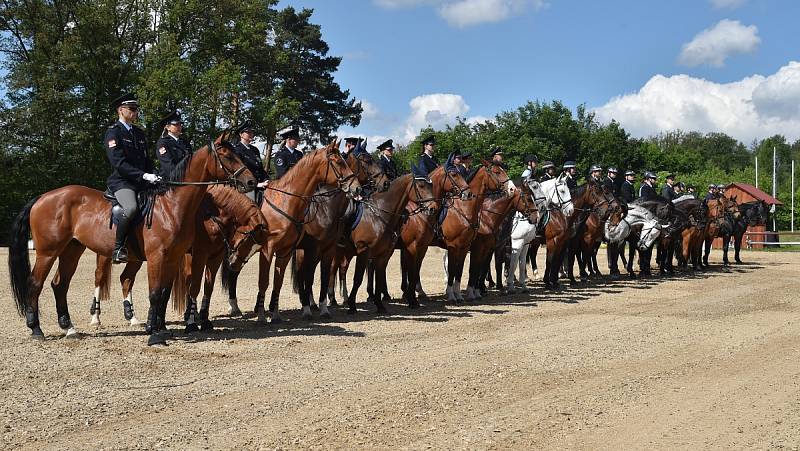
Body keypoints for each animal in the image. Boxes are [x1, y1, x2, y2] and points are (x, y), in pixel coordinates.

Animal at [7, 132, 255, 346]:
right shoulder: (160, 256)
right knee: (36, 283)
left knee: (60, 284)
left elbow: (164, 293)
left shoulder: (174, 257)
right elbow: (155, 294)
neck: (172, 205)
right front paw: (155, 334)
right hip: (48, 252)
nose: (251, 182)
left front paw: (160, 327)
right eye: (228, 155)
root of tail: (43, 197)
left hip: (72, 250)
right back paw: (36, 329)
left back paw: (69, 328)